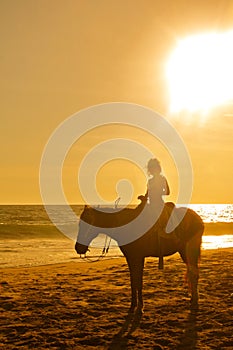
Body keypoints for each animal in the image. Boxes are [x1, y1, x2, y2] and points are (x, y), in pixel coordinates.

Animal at [75, 201, 204, 314]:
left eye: (86, 223)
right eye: (79, 224)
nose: (78, 248)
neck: (127, 226)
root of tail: (198, 218)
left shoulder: (139, 257)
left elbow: (139, 281)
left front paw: (140, 308)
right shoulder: (131, 258)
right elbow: (134, 281)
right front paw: (133, 306)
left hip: (189, 251)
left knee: (194, 274)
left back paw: (194, 303)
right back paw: (193, 299)